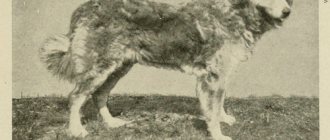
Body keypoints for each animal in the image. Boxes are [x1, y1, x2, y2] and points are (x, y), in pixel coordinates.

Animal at [38, 0, 292, 139]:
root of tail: (84, 8)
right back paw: (76, 130)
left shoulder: (218, 75)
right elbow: (212, 110)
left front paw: (224, 118)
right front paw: (218, 133)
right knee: (76, 96)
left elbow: (218, 103)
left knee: (99, 95)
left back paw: (111, 123)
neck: (236, 11)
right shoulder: (213, 76)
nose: (288, 11)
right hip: (100, 66)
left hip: (118, 67)